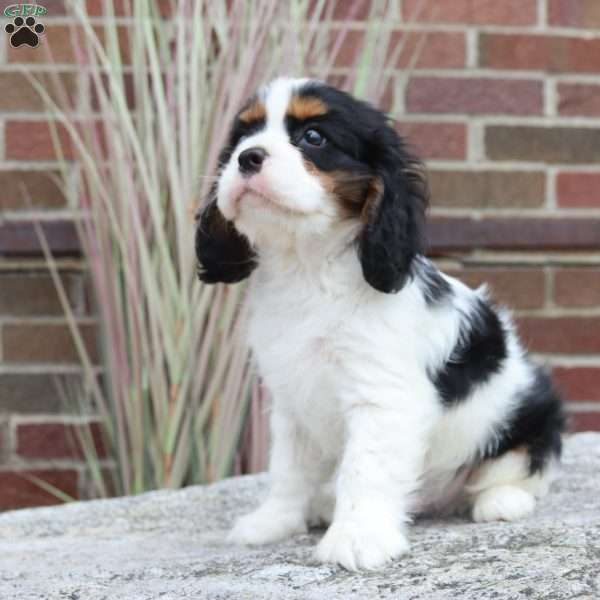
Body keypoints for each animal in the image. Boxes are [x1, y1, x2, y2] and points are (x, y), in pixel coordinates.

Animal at [195, 77, 564, 568]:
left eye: (314, 137)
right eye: (243, 136)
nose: (247, 157)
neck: (307, 266)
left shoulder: (382, 398)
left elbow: (365, 468)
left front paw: (357, 537)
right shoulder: (292, 399)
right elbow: (288, 468)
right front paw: (274, 522)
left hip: (527, 417)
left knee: (522, 470)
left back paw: (501, 500)